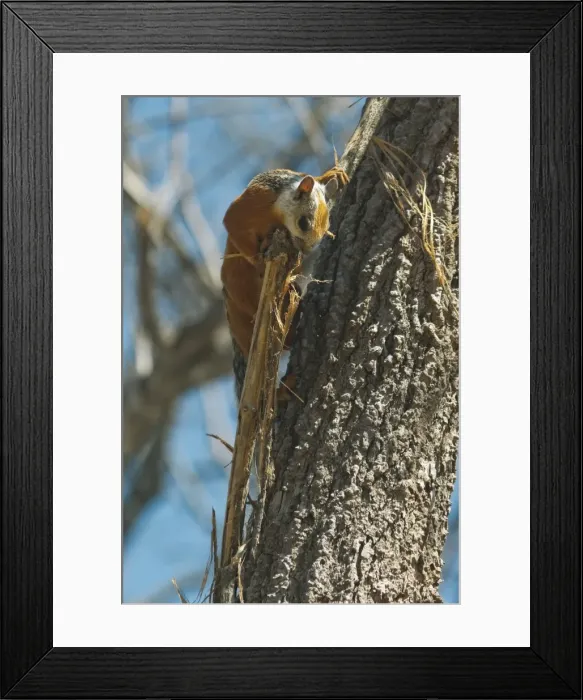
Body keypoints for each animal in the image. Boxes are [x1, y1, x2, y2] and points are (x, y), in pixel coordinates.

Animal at [221, 165, 349, 399]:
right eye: (304, 223)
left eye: (326, 227)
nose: (306, 250)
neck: (278, 215)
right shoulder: (250, 203)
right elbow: (232, 224)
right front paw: (259, 260)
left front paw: (333, 174)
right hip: (241, 300)